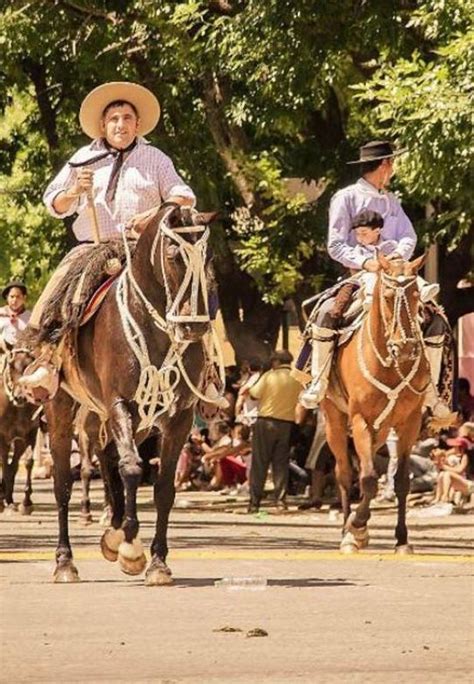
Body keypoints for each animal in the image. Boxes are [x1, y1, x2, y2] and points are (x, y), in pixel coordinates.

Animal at [40, 203, 215, 584]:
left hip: (129, 421)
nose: (194, 325)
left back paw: (112, 530)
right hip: (63, 407)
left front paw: (157, 562)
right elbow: (133, 468)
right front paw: (130, 545)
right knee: (63, 485)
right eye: (174, 255)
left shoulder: (178, 417)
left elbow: (163, 487)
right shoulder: (120, 402)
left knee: (106, 458)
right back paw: (65, 562)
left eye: (207, 256)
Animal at [322, 254, 430, 552]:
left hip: (381, 431)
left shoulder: (410, 423)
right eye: (389, 296)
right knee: (345, 473)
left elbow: (401, 481)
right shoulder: (361, 420)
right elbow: (369, 478)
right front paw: (357, 527)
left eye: (416, 295)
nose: (405, 348)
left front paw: (402, 539)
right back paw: (346, 532)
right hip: (334, 421)